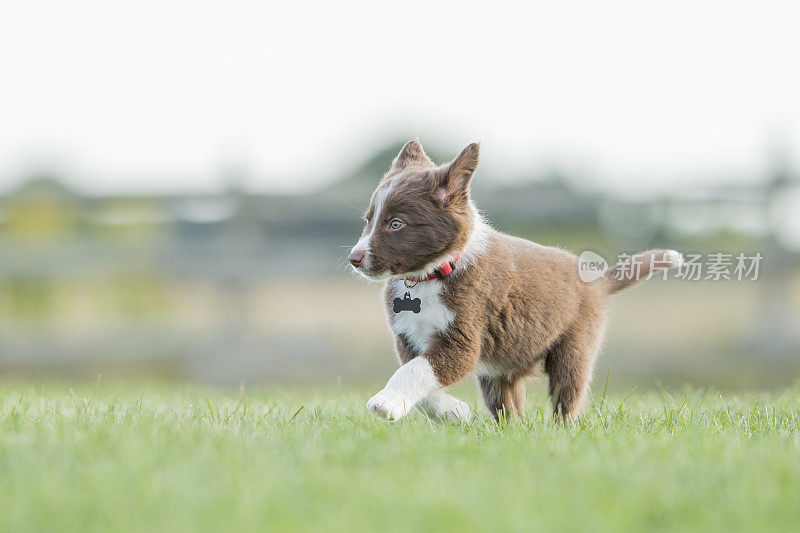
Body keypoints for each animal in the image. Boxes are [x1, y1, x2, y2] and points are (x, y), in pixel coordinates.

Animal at [350, 141, 680, 424]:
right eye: (368, 220)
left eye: (396, 224)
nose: (354, 258)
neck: (430, 275)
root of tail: (596, 280)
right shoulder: (408, 338)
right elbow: (420, 382)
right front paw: (453, 412)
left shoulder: (462, 339)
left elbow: (415, 372)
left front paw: (385, 404)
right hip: (502, 366)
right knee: (509, 406)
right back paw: (512, 433)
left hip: (574, 346)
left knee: (567, 396)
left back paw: (561, 433)